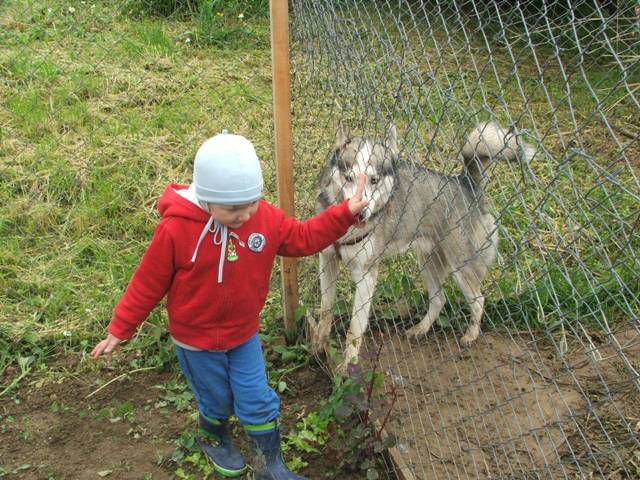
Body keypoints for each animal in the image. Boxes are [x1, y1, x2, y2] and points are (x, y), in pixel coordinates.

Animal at [310, 122, 536, 366]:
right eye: (349, 178)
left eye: (374, 180)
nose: (361, 214)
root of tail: (466, 182)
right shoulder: (327, 260)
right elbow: (326, 308)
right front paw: (319, 344)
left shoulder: (366, 275)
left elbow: (355, 328)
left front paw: (348, 365)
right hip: (427, 261)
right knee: (439, 298)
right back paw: (420, 329)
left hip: (461, 267)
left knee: (478, 300)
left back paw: (471, 335)